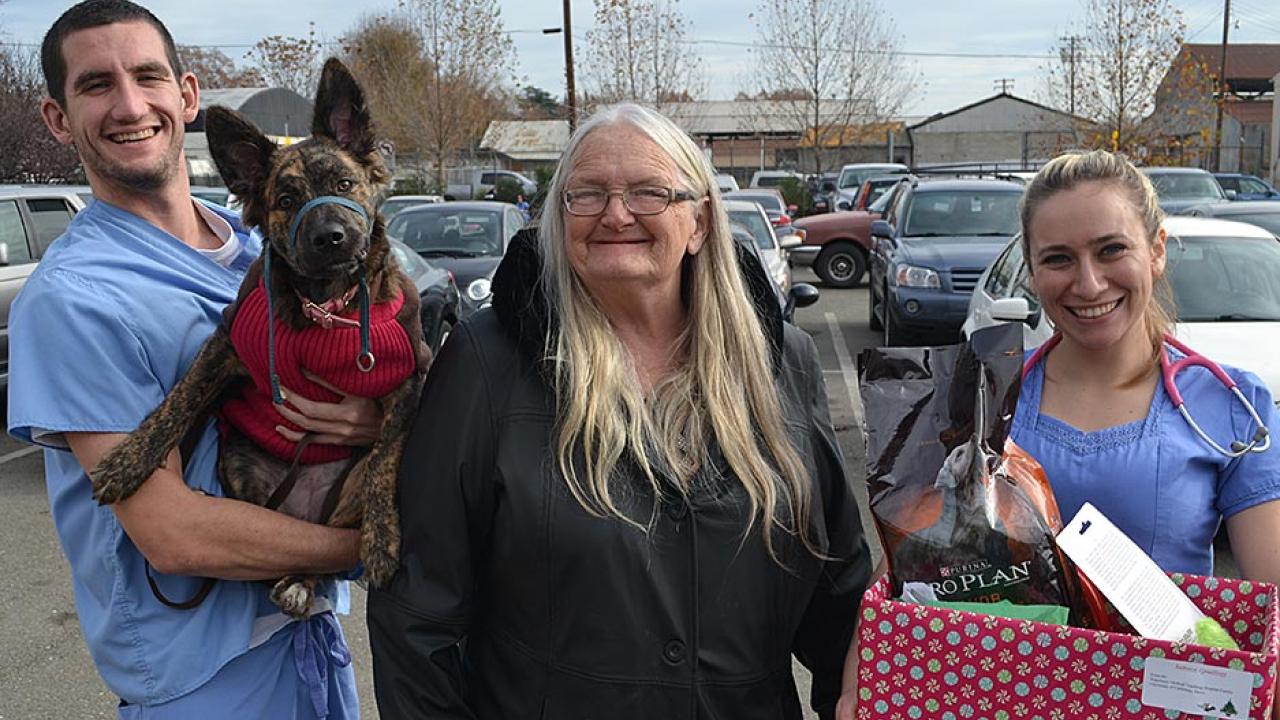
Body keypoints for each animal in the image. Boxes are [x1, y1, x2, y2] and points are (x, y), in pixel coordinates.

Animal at [90, 58, 432, 614]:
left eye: (344, 182)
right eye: (286, 199)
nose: (330, 237)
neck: (324, 306)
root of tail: (303, 509)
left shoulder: (408, 379)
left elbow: (386, 457)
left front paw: (382, 540)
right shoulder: (226, 344)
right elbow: (176, 402)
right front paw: (128, 460)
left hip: (345, 490)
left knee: (327, 547)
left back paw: (302, 582)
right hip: (241, 464)